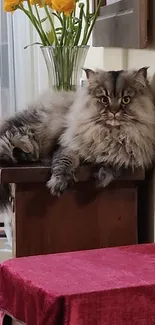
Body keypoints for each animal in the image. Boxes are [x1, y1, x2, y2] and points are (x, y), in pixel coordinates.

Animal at [0, 66, 155, 233]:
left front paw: (103, 175)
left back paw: (22, 155)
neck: (110, 134)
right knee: (7, 140)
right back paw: (19, 153)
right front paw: (58, 183)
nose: (114, 112)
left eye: (126, 99)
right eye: (104, 99)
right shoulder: (68, 146)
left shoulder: (129, 154)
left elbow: (116, 162)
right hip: (26, 130)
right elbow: (63, 164)